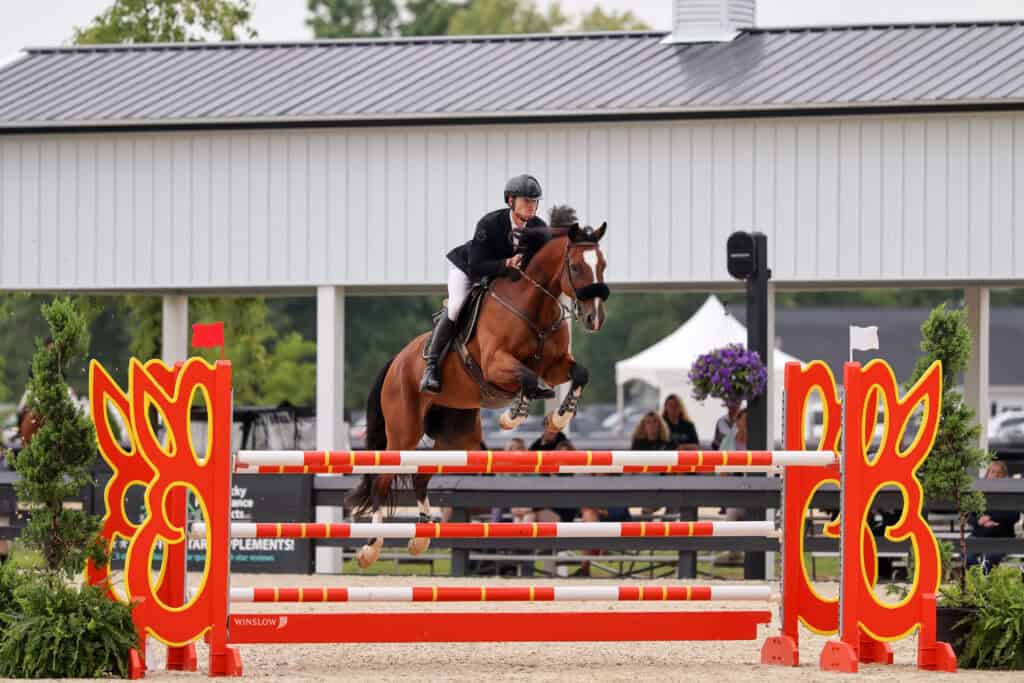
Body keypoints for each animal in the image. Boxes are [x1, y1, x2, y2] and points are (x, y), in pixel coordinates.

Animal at [345, 205, 609, 568]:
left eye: (603, 265)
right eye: (577, 266)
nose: (595, 319)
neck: (533, 305)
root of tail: (396, 362)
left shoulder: (555, 366)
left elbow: (579, 374)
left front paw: (560, 417)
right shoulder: (496, 363)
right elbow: (528, 380)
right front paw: (512, 416)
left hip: (457, 438)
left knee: (419, 476)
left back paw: (420, 538)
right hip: (403, 431)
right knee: (383, 479)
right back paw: (371, 547)